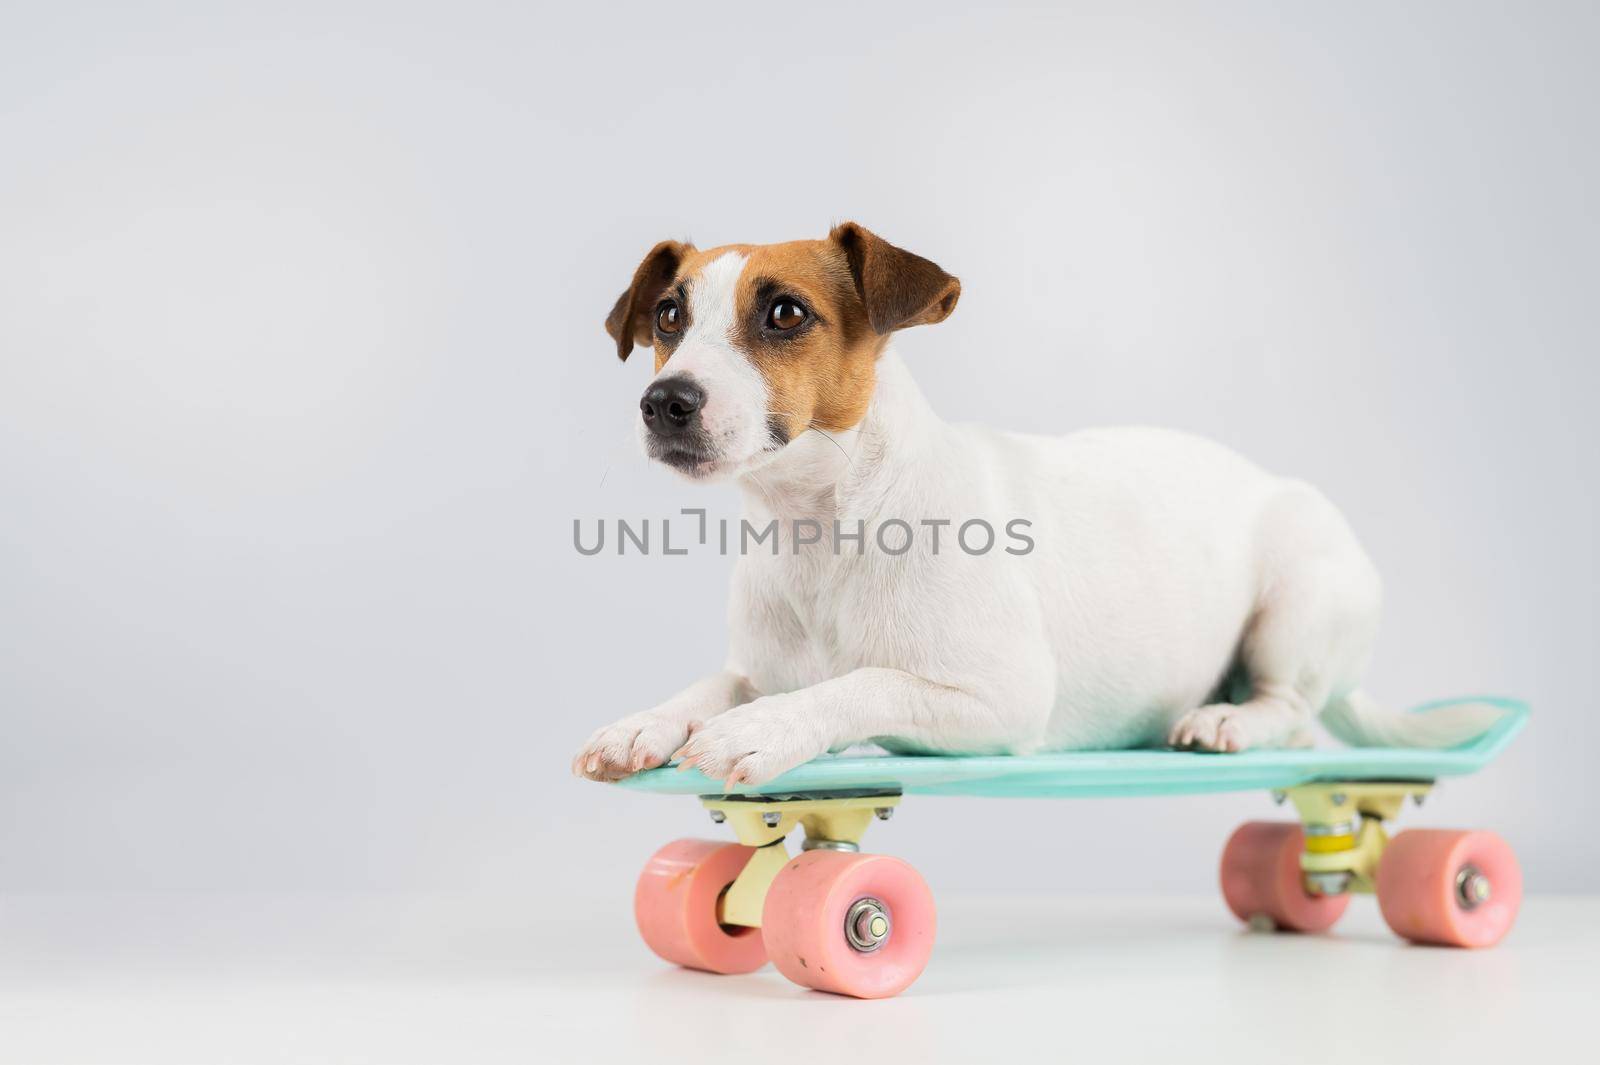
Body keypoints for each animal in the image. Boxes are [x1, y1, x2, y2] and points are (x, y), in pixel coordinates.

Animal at [572, 223, 1497, 783]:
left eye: (786, 312)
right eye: (668, 316)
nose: (664, 402)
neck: (824, 525)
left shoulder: (1001, 697)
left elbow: (863, 680)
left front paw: (764, 728)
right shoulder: (759, 666)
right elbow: (713, 684)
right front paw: (647, 722)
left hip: (1297, 595)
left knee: (1296, 715)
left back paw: (1229, 720)